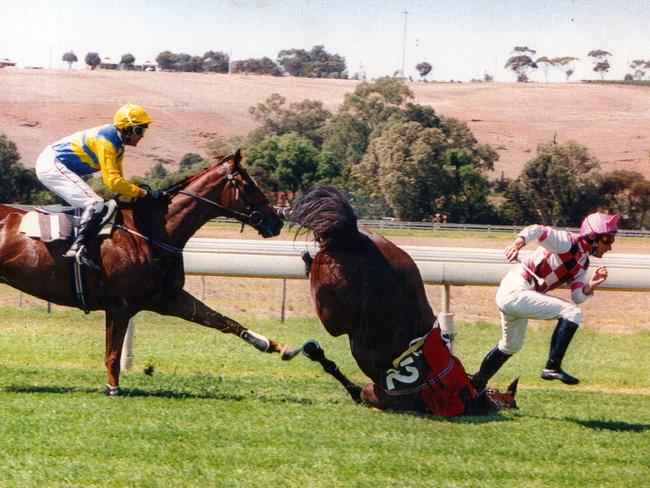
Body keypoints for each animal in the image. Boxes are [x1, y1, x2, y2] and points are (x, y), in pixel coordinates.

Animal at [0, 150, 298, 396]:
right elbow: (112, 353)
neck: (151, 231)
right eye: (248, 185)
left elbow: (222, 320)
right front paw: (113, 388)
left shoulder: (167, 298)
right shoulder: (120, 305)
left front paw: (275, 345)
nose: (277, 219)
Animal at [290, 185, 516, 418]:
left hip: (339, 307)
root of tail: (353, 237)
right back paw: (307, 260)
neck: (468, 394)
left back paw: (308, 257)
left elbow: (353, 388)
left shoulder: (376, 392)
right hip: (335, 313)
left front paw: (314, 352)